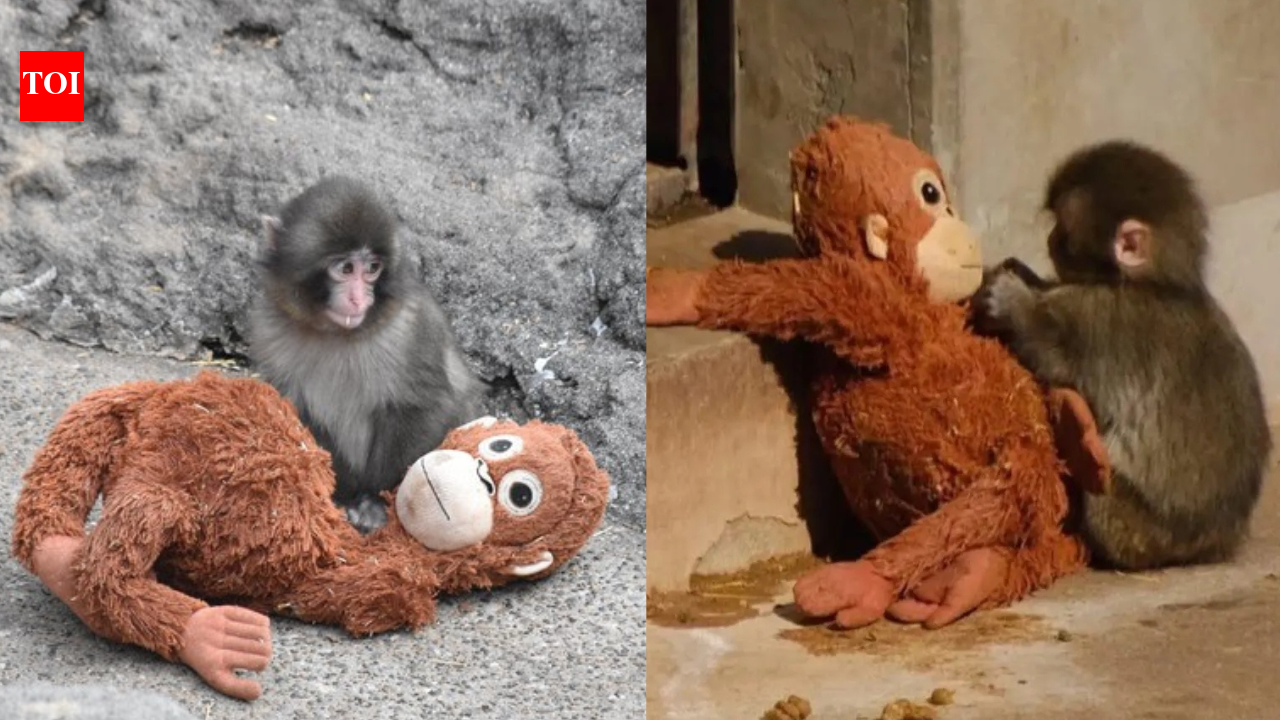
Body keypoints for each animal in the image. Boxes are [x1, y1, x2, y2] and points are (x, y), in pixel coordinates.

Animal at [247, 176, 483, 534]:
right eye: (346, 268)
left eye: (372, 268)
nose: (359, 299)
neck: (336, 333)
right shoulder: (268, 329)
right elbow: (296, 413)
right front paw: (341, 494)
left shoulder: (411, 327)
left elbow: (426, 405)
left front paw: (372, 500)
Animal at [971, 140, 1272, 570]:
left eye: (1063, 228)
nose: (1049, 240)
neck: (1155, 284)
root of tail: (1212, 545)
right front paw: (1023, 275)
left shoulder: (1099, 319)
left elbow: (1053, 354)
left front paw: (1013, 302)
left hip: (1136, 530)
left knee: (1102, 496)